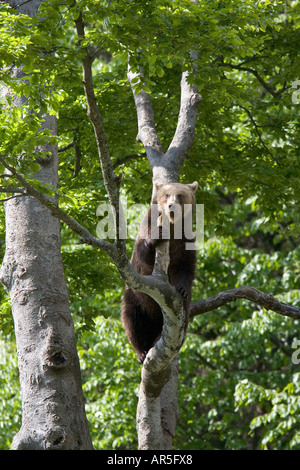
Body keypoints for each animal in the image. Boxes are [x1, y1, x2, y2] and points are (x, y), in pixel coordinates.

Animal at [120, 180, 198, 364]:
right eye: (166, 194)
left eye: (180, 195)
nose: (171, 206)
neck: (173, 227)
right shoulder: (148, 226)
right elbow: (143, 253)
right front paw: (156, 237)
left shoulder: (185, 241)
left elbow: (185, 268)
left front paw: (181, 288)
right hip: (136, 298)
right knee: (132, 320)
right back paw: (141, 351)